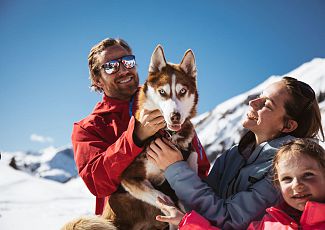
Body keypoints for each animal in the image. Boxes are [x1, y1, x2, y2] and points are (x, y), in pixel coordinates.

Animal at [60, 45, 197, 230]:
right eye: (162, 92)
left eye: (182, 91)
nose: (175, 117)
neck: (167, 135)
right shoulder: (129, 179)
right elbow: (161, 197)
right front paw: (170, 208)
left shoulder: (190, 157)